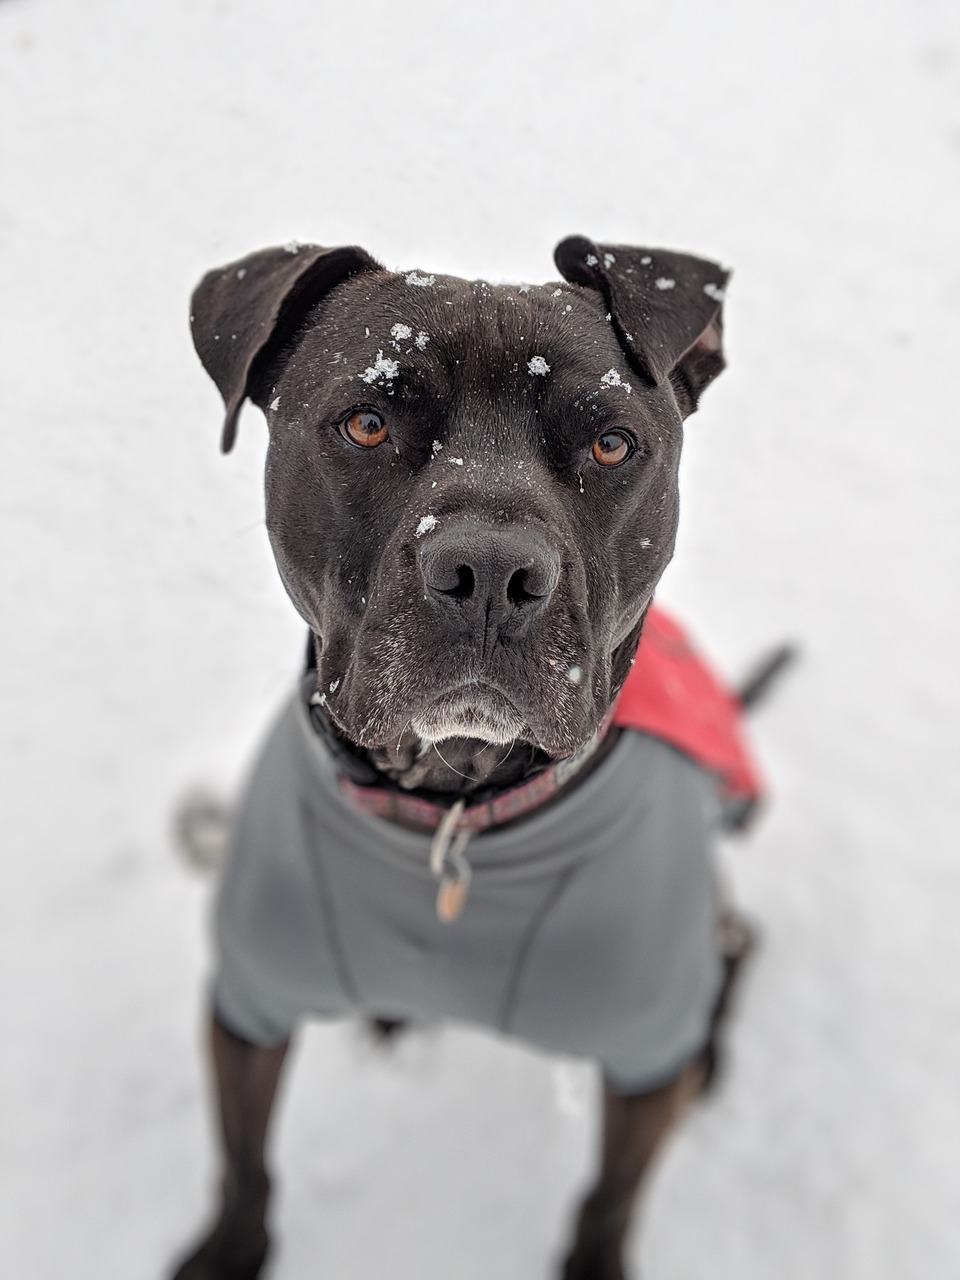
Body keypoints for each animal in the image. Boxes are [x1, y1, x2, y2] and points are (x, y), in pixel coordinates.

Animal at [175, 232, 752, 1280]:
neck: (454, 814)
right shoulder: (247, 1001)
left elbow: (610, 1200)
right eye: (366, 424)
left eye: (612, 444)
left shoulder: (645, 1065)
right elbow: (244, 1164)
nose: (490, 571)